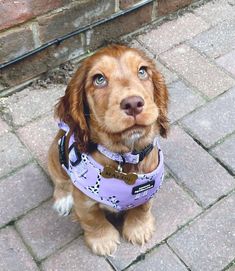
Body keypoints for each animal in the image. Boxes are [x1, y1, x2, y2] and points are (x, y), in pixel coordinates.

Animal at [48, 43, 169, 256]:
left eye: (142, 71)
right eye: (99, 79)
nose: (133, 104)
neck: (125, 156)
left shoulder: (148, 192)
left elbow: (142, 208)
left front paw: (139, 229)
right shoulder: (84, 202)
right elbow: (93, 220)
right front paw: (103, 241)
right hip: (54, 154)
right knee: (59, 180)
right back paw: (63, 199)